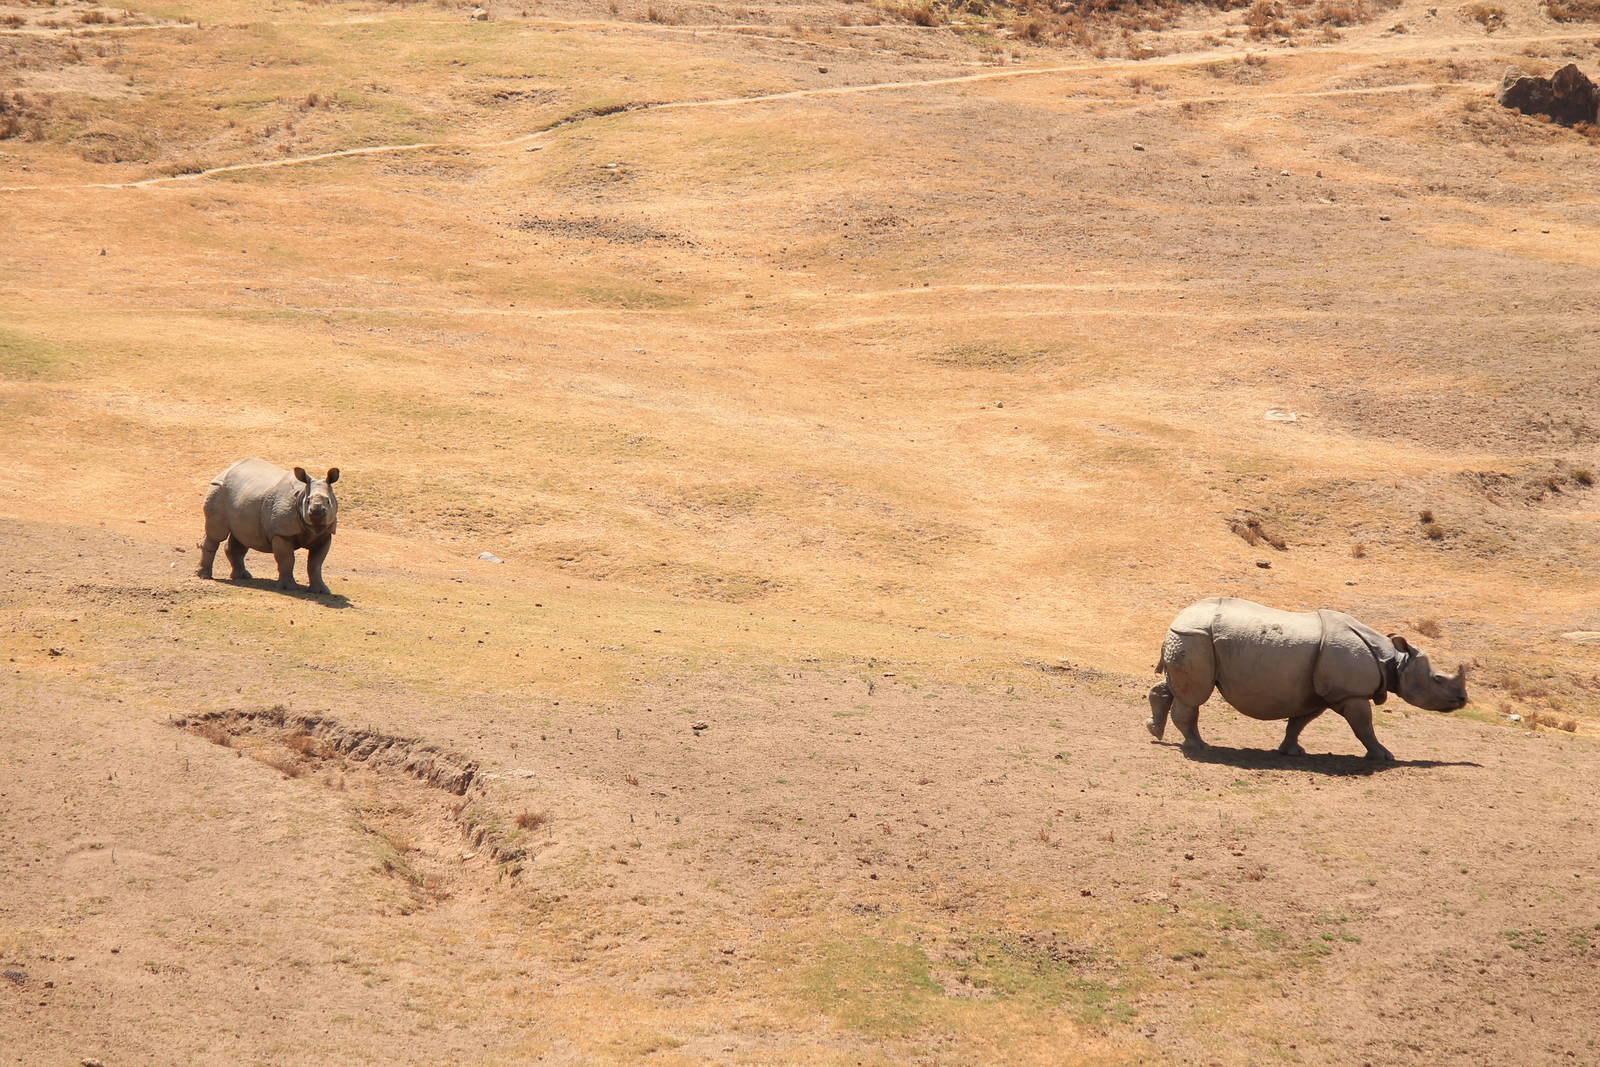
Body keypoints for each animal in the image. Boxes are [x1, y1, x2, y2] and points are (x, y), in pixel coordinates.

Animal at [198, 458, 340, 594]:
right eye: (308, 501)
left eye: (329, 502)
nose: (316, 511)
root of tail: (227, 469)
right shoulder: (281, 533)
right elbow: (287, 560)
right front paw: (289, 588)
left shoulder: (325, 535)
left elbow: (315, 564)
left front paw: (321, 591)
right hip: (218, 489)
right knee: (216, 535)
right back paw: (205, 576)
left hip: (242, 497)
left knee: (242, 537)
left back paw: (242, 577)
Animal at [1147, 596, 1467, 761]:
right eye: (1438, 679)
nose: (1463, 700)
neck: (1393, 659)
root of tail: (1177, 618)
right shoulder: (1350, 693)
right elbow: (1364, 727)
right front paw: (1384, 756)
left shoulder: (1320, 693)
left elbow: (1299, 722)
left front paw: (1291, 752)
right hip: (1195, 638)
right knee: (1194, 696)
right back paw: (1199, 748)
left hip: (1190, 639)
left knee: (1176, 687)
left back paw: (1156, 731)